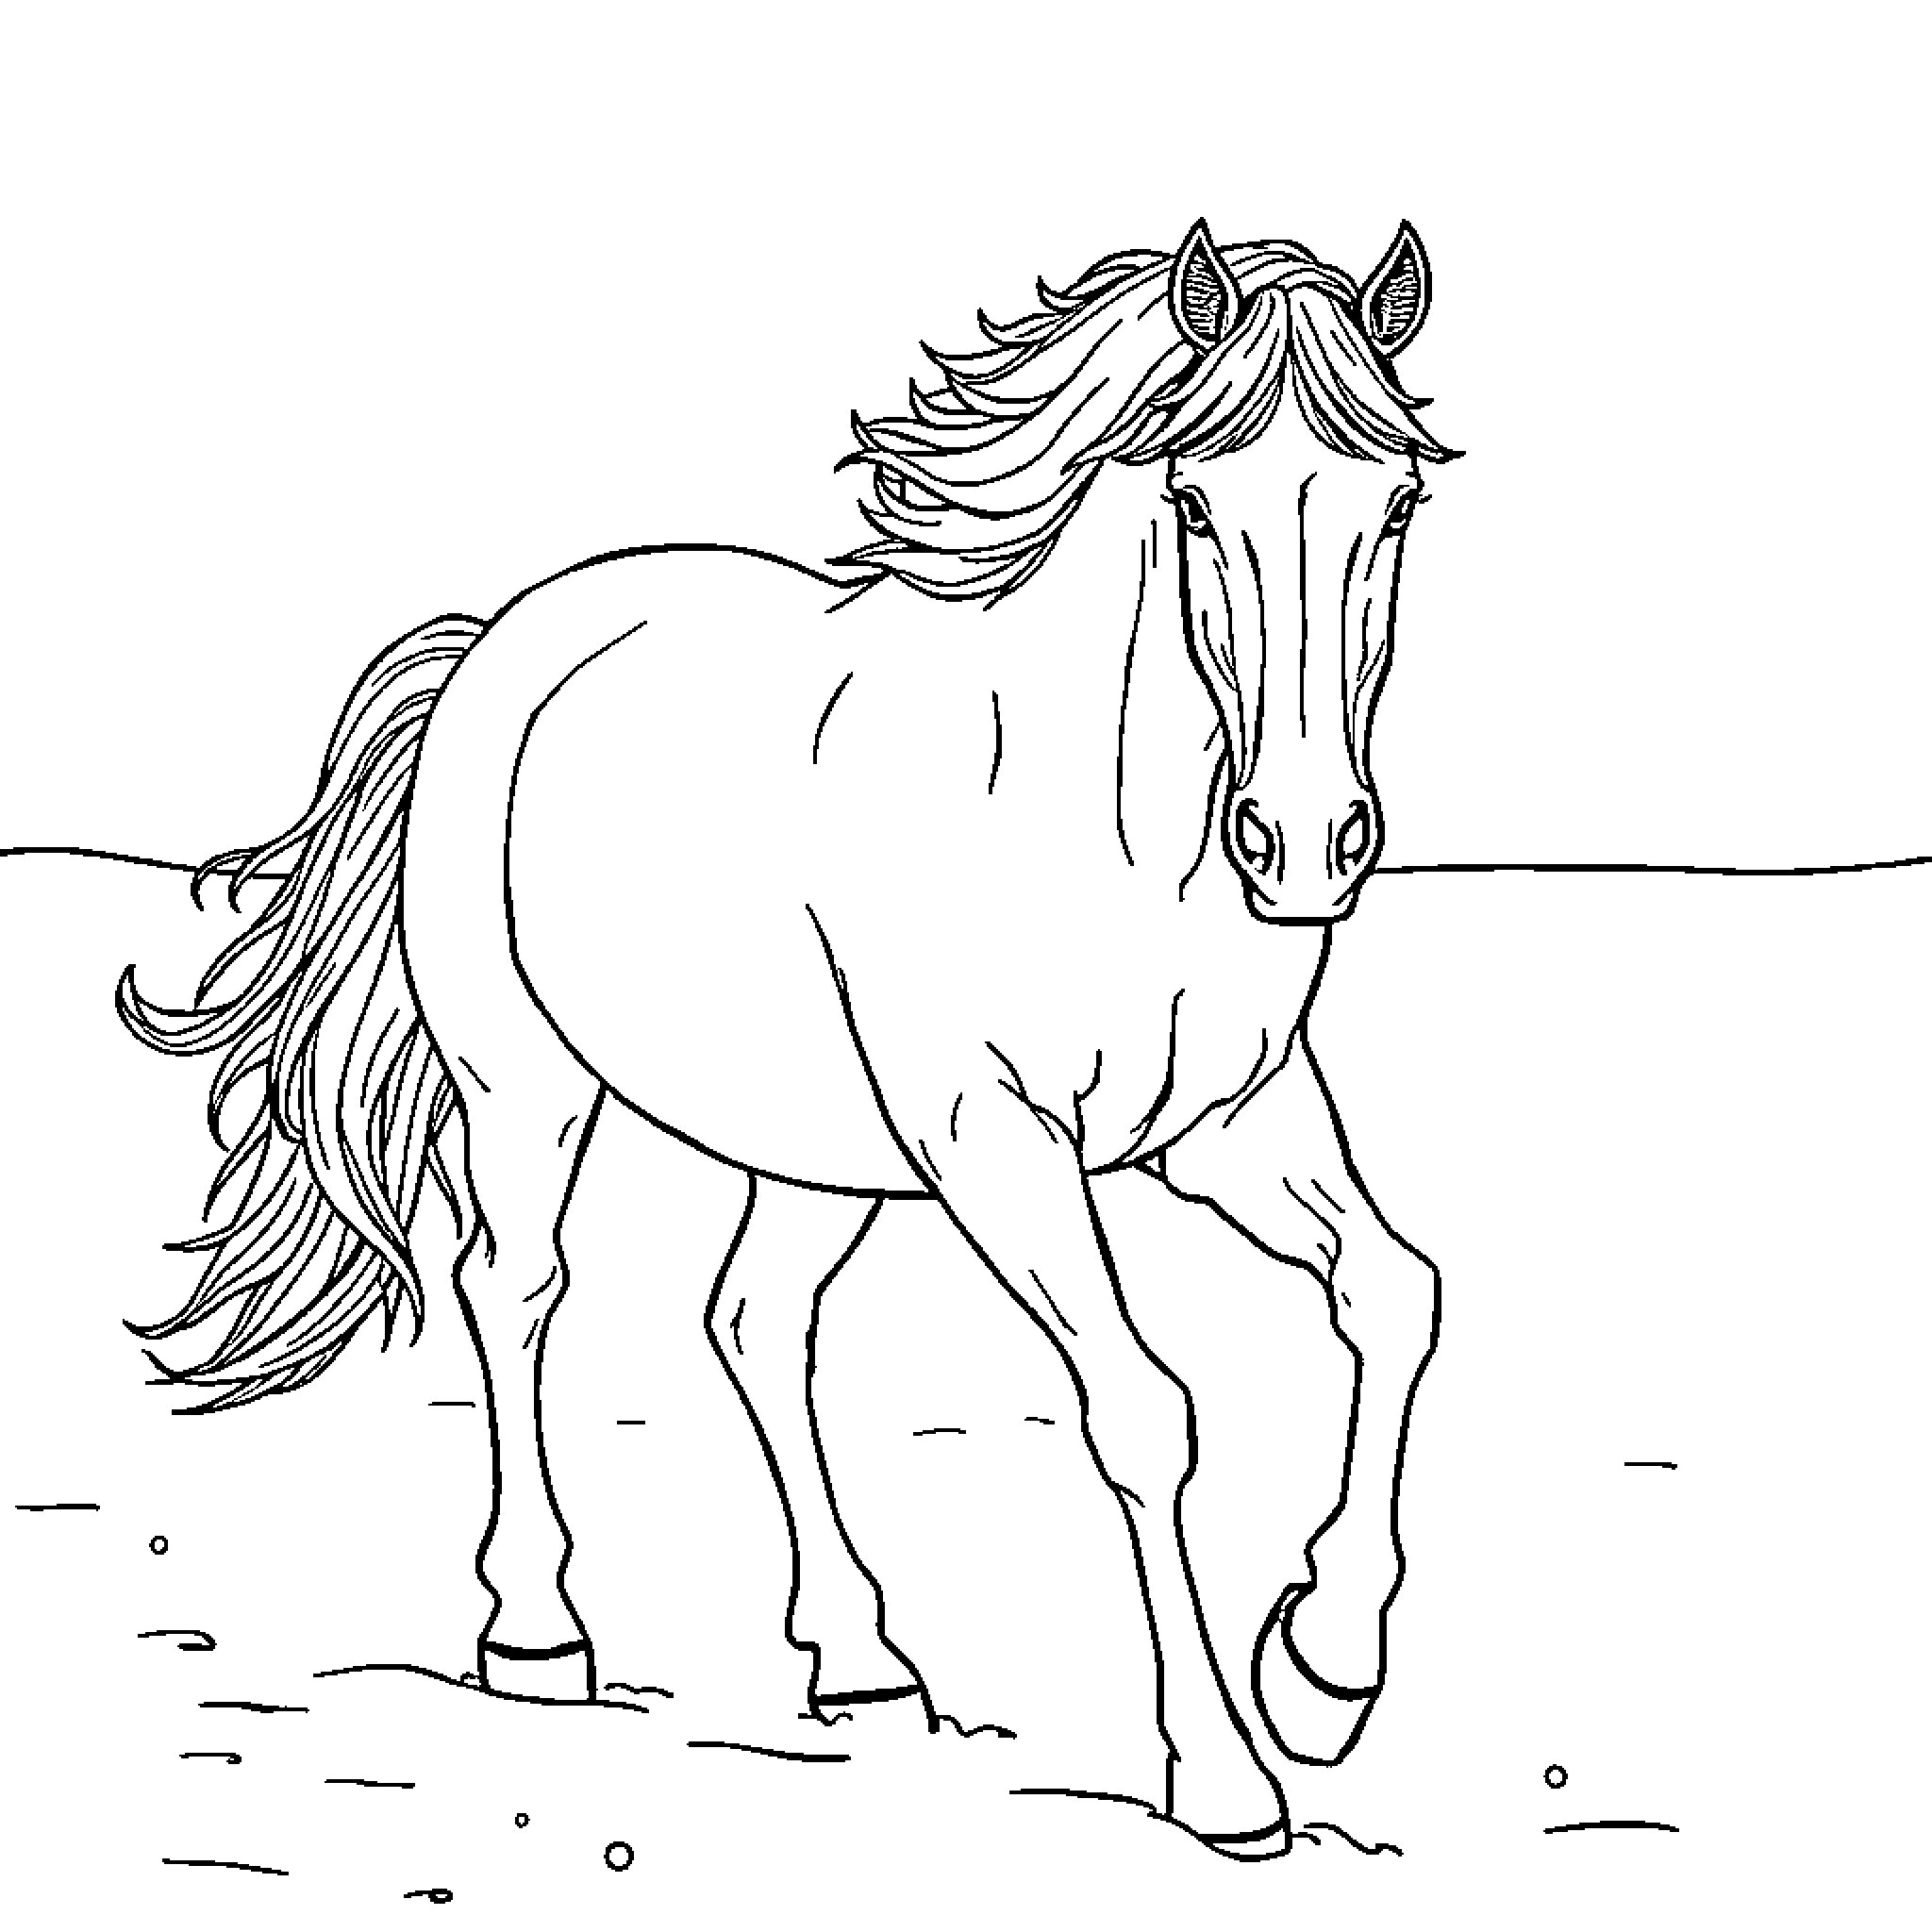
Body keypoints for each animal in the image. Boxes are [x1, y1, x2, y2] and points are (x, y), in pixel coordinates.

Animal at [118, 216, 1457, 1858]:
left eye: (1396, 503)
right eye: (1197, 501)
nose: (1311, 845)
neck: (1113, 833)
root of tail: (502, 640)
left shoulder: (1227, 1128)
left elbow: (1398, 1294)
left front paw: (1324, 1672)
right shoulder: (999, 1143)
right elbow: (1147, 1409)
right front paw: (1225, 1773)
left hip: (816, 1149)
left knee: (756, 1323)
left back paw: (862, 1657)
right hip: (525, 1088)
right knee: (517, 1290)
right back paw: (539, 1634)